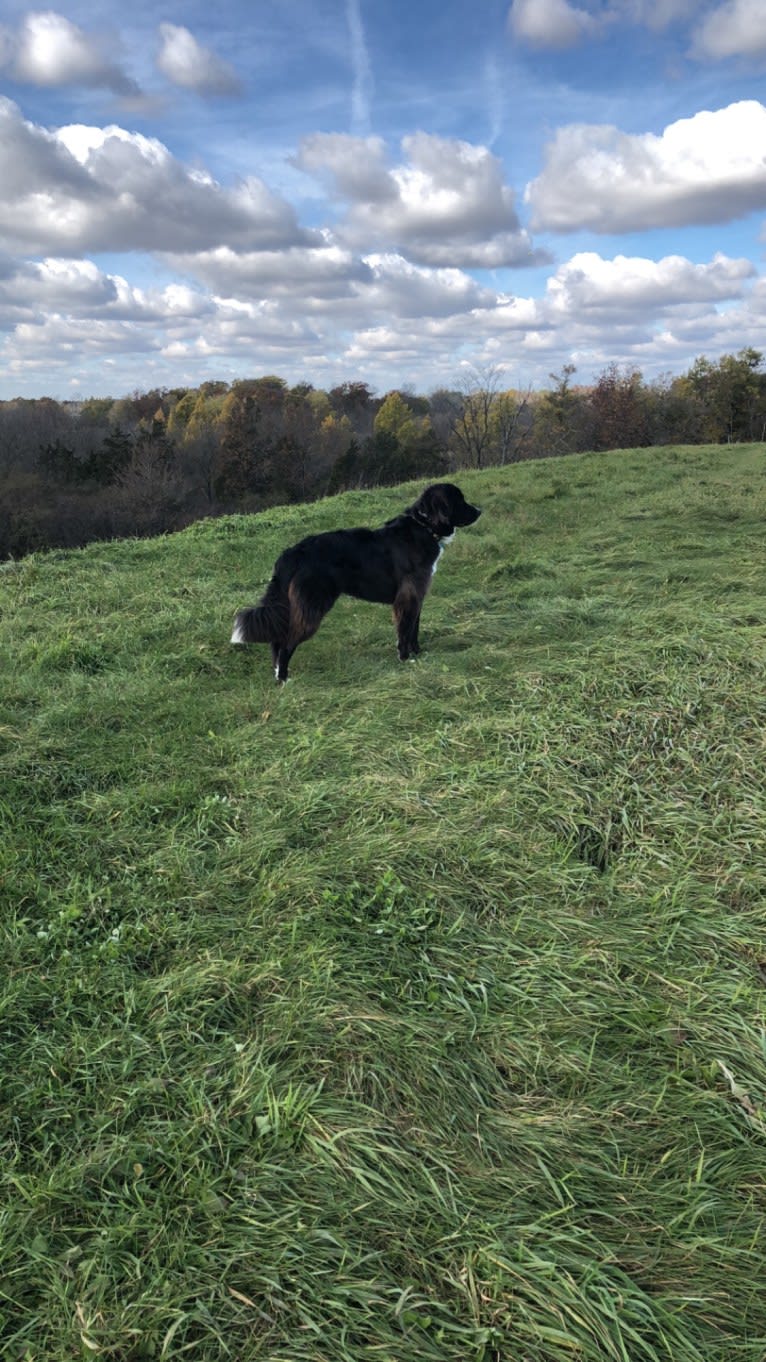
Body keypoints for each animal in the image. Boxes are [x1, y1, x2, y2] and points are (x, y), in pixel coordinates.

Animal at [228, 484, 479, 686]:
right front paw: (405, 658)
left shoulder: (417, 595)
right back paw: (283, 679)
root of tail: (293, 553)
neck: (424, 525)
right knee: (287, 642)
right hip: (312, 606)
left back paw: (277, 672)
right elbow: (405, 629)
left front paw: (418, 654)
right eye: (459, 500)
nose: (479, 511)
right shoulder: (408, 596)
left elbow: (414, 628)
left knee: (277, 638)